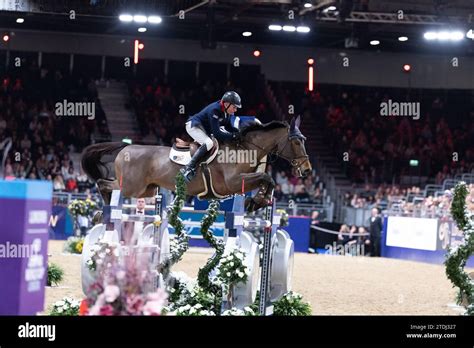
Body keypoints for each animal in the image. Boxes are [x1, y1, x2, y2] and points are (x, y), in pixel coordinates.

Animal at [81, 116, 312, 212]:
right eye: (296, 142)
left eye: (304, 140)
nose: (307, 170)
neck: (245, 148)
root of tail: (125, 148)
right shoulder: (233, 183)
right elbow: (267, 177)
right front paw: (255, 201)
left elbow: (268, 180)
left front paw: (257, 202)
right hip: (131, 187)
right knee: (103, 183)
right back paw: (103, 211)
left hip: (147, 190)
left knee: (107, 184)